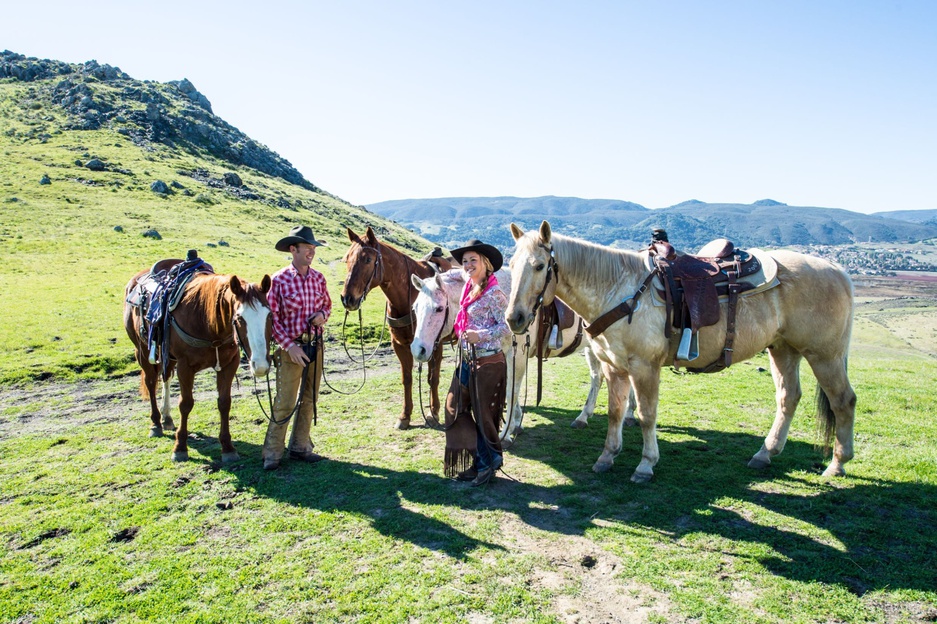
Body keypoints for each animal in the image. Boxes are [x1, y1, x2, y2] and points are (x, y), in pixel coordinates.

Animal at [124, 264, 272, 464]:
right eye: (239, 318)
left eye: (269, 315)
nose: (261, 365)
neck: (208, 323)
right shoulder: (185, 366)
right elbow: (185, 404)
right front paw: (180, 448)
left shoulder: (229, 364)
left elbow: (224, 402)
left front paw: (228, 448)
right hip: (141, 351)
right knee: (151, 382)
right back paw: (155, 423)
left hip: (167, 355)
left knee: (165, 377)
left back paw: (166, 418)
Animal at [340, 228, 454, 428]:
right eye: (347, 259)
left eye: (367, 259)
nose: (348, 299)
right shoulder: (400, 345)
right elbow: (407, 379)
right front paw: (405, 415)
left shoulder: (436, 344)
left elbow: (433, 378)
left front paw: (433, 412)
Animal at [410, 266, 628, 444]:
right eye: (415, 308)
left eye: (438, 308)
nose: (417, 350)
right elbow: (511, 389)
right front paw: (516, 423)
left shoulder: (516, 355)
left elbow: (511, 391)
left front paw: (506, 433)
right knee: (597, 378)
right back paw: (586, 417)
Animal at [504, 222, 856, 486]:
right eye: (511, 265)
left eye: (539, 266)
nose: (514, 318)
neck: (619, 289)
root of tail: (838, 269)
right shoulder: (614, 365)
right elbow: (615, 411)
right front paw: (607, 457)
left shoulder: (644, 367)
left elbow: (646, 415)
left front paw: (645, 465)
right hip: (784, 349)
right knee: (788, 397)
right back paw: (765, 454)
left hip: (824, 354)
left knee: (843, 401)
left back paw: (837, 464)